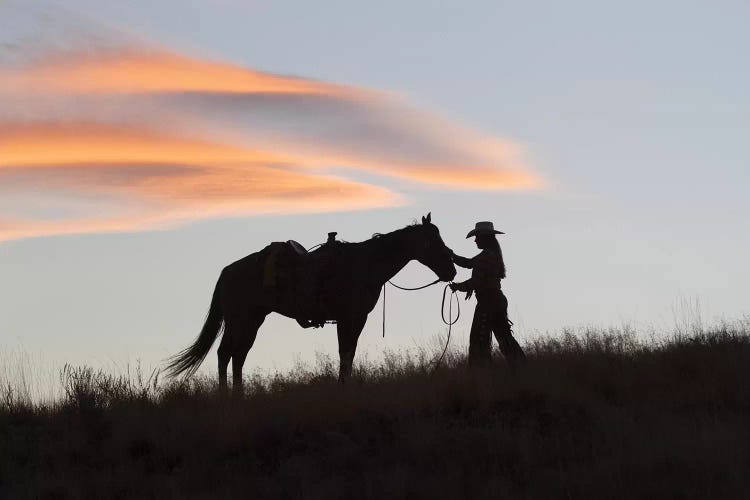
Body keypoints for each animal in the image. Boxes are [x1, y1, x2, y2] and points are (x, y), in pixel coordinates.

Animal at [167, 214, 456, 394]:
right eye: (432, 241)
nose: (451, 270)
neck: (363, 265)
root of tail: (227, 272)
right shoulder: (349, 318)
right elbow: (345, 353)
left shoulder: (355, 319)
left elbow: (348, 354)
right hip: (239, 320)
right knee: (225, 353)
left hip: (253, 321)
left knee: (238, 355)